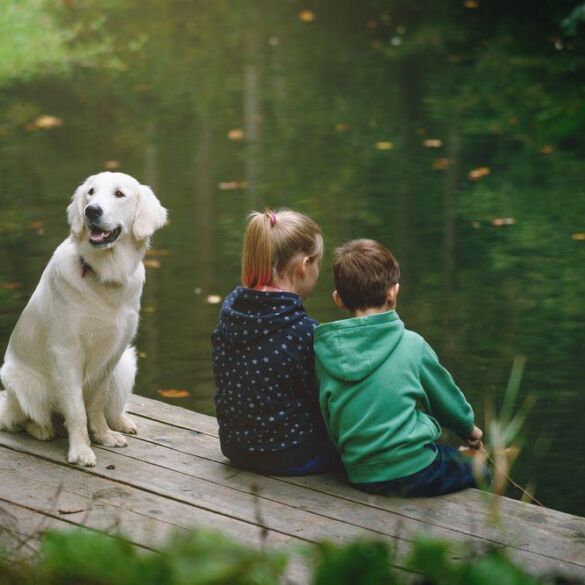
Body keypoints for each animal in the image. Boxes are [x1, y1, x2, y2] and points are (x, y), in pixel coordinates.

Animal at [0, 170, 167, 466]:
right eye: (90, 192)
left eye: (119, 194)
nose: (92, 210)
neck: (104, 275)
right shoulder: (67, 353)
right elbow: (77, 411)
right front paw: (81, 450)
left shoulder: (113, 354)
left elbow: (96, 404)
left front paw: (104, 435)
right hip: (20, 380)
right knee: (20, 418)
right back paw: (41, 430)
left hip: (126, 364)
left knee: (112, 408)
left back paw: (121, 423)